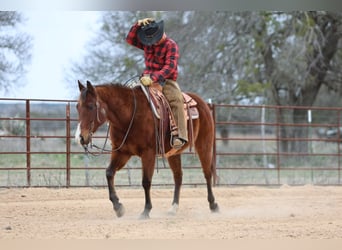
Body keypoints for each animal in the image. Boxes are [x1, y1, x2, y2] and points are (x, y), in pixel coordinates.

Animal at [75, 80, 219, 219]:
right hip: (173, 153)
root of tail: (202, 102)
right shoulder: (121, 152)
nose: (80, 137)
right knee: (178, 176)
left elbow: (146, 181)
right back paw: (173, 208)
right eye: (77, 107)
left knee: (207, 173)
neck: (130, 115)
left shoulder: (148, 153)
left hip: (204, 145)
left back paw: (213, 205)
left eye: (91, 106)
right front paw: (118, 207)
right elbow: (109, 173)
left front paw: (146, 210)